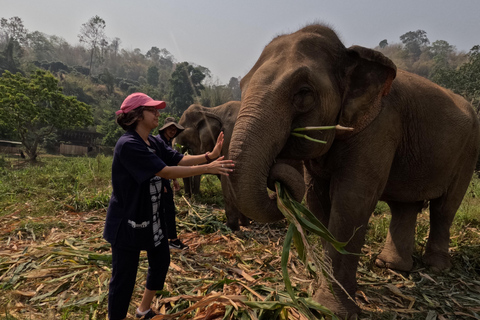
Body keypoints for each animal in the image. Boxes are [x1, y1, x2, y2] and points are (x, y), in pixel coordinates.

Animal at [174, 101, 249, 229]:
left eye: (183, 134)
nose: (187, 196)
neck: (212, 110)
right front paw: (244, 223)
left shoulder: (229, 136)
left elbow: (227, 175)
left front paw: (231, 226)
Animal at [228, 23, 480, 318]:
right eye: (242, 85)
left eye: (303, 93)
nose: (274, 175)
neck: (350, 55)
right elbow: (318, 203)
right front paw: (326, 292)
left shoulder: (380, 126)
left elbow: (351, 201)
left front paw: (332, 309)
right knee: (404, 207)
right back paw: (389, 266)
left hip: (469, 151)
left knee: (444, 208)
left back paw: (436, 266)